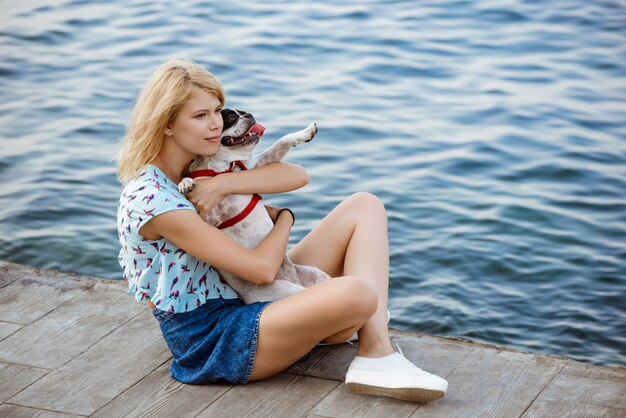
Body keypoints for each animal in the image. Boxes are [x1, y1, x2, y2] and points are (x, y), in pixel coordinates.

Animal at [178, 109, 330, 302]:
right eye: (230, 117)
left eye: (242, 112)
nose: (249, 115)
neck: (219, 169)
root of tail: (295, 280)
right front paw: (185, 183)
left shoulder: (256, 164)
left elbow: (281, 142)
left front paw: (305, 132)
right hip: (289, 290)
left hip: (317, 274)